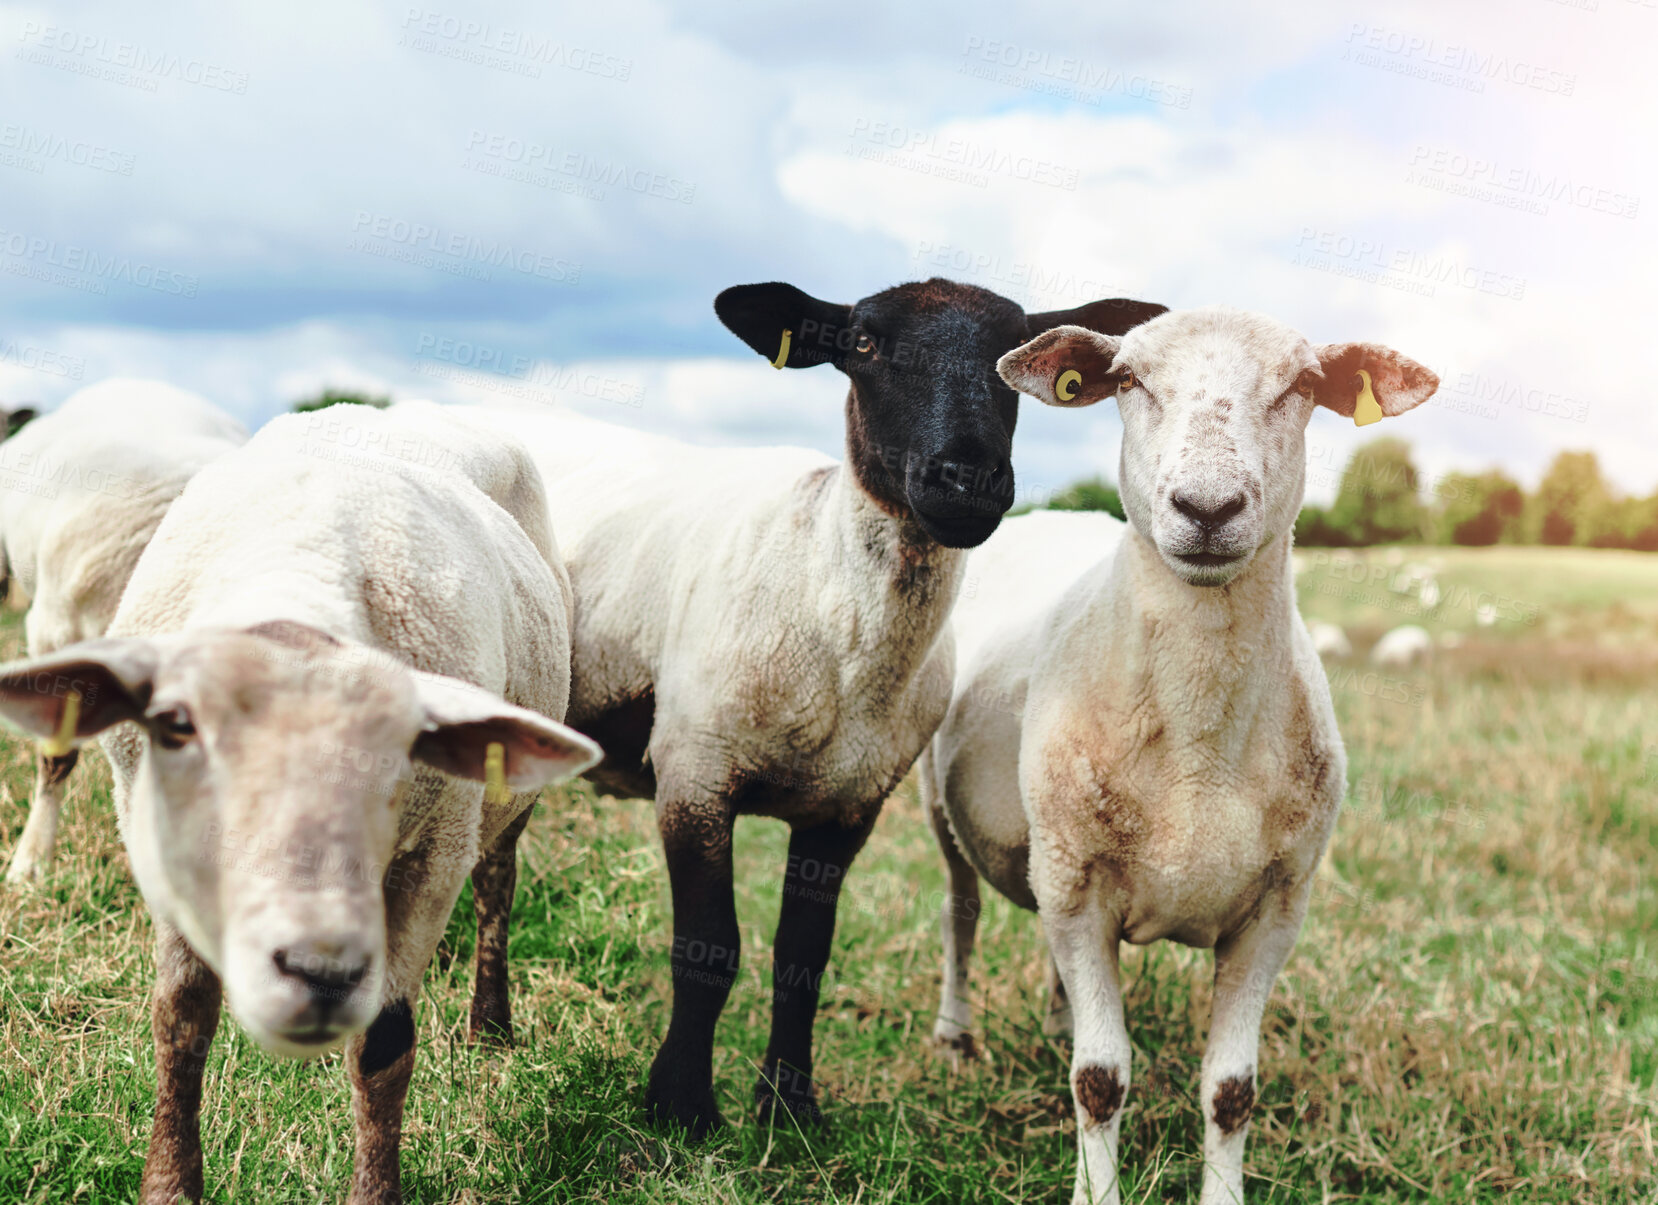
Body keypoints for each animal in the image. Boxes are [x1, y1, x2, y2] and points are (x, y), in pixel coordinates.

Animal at [454, 278, 1167, 1133]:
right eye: (862, 344)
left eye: (1015, 354)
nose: (967, 480)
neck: (834, 620)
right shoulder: (695, 770)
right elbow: (709, 948)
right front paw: (680, 1106)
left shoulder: (849, 805)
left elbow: (803, 956)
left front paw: (789, 1105)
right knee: (494, 871)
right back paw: (486, 1031)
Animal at [928, 306, 1432, 1200]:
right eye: (1128, 379)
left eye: (1304, 384)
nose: (1206, 505)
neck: (1199, 745)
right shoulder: (1081, 886)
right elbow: (1100, 1079)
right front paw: (1095, 1190)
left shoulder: (1276, 908)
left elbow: (1232, 1090)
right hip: (949, 808)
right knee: (961, 913)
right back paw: (956, 1036)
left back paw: (1057, 1017)